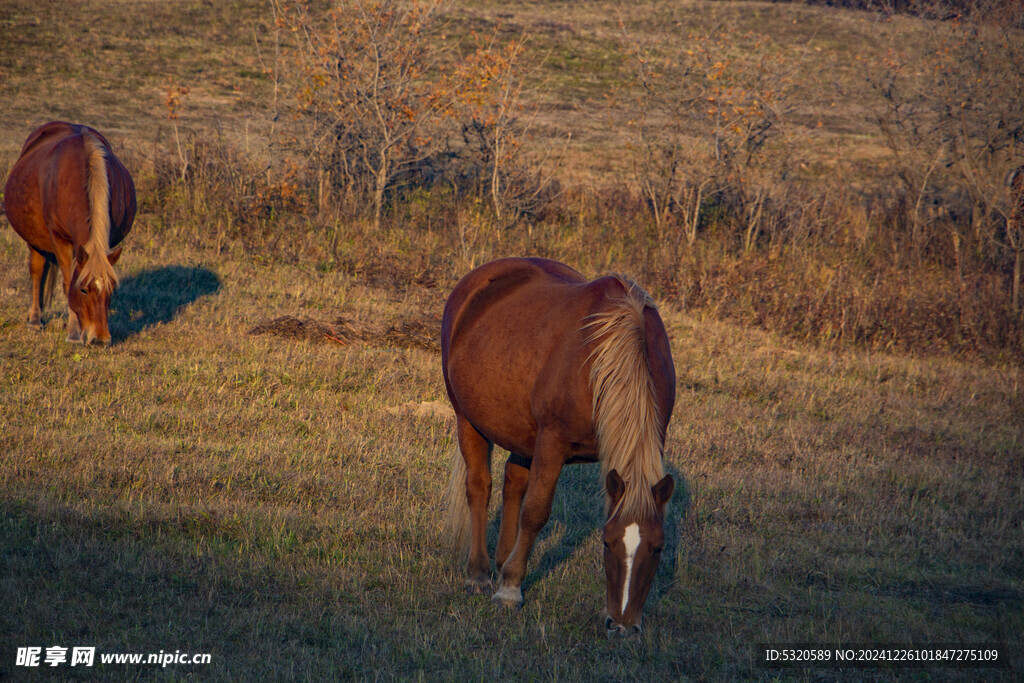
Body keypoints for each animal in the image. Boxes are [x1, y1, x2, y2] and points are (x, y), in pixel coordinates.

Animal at [3, 120, 137, 344]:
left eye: (112, 290)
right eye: (84, 290)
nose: (100, 339)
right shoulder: (60, 239)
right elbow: (67, 283)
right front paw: (74, 333)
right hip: (34, 240)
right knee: (37, 271)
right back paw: (35, 319)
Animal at [438, 255, 671, 634]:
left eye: (658, 548)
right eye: (607, 543)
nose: (622, 626)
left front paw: (511, 574)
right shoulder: (552, 443)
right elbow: (535, 512)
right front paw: (510, 591)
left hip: (520, 433)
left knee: (513, 482)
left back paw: (503, 560)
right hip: (466, 418)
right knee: (479, 487)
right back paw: (480, 573)